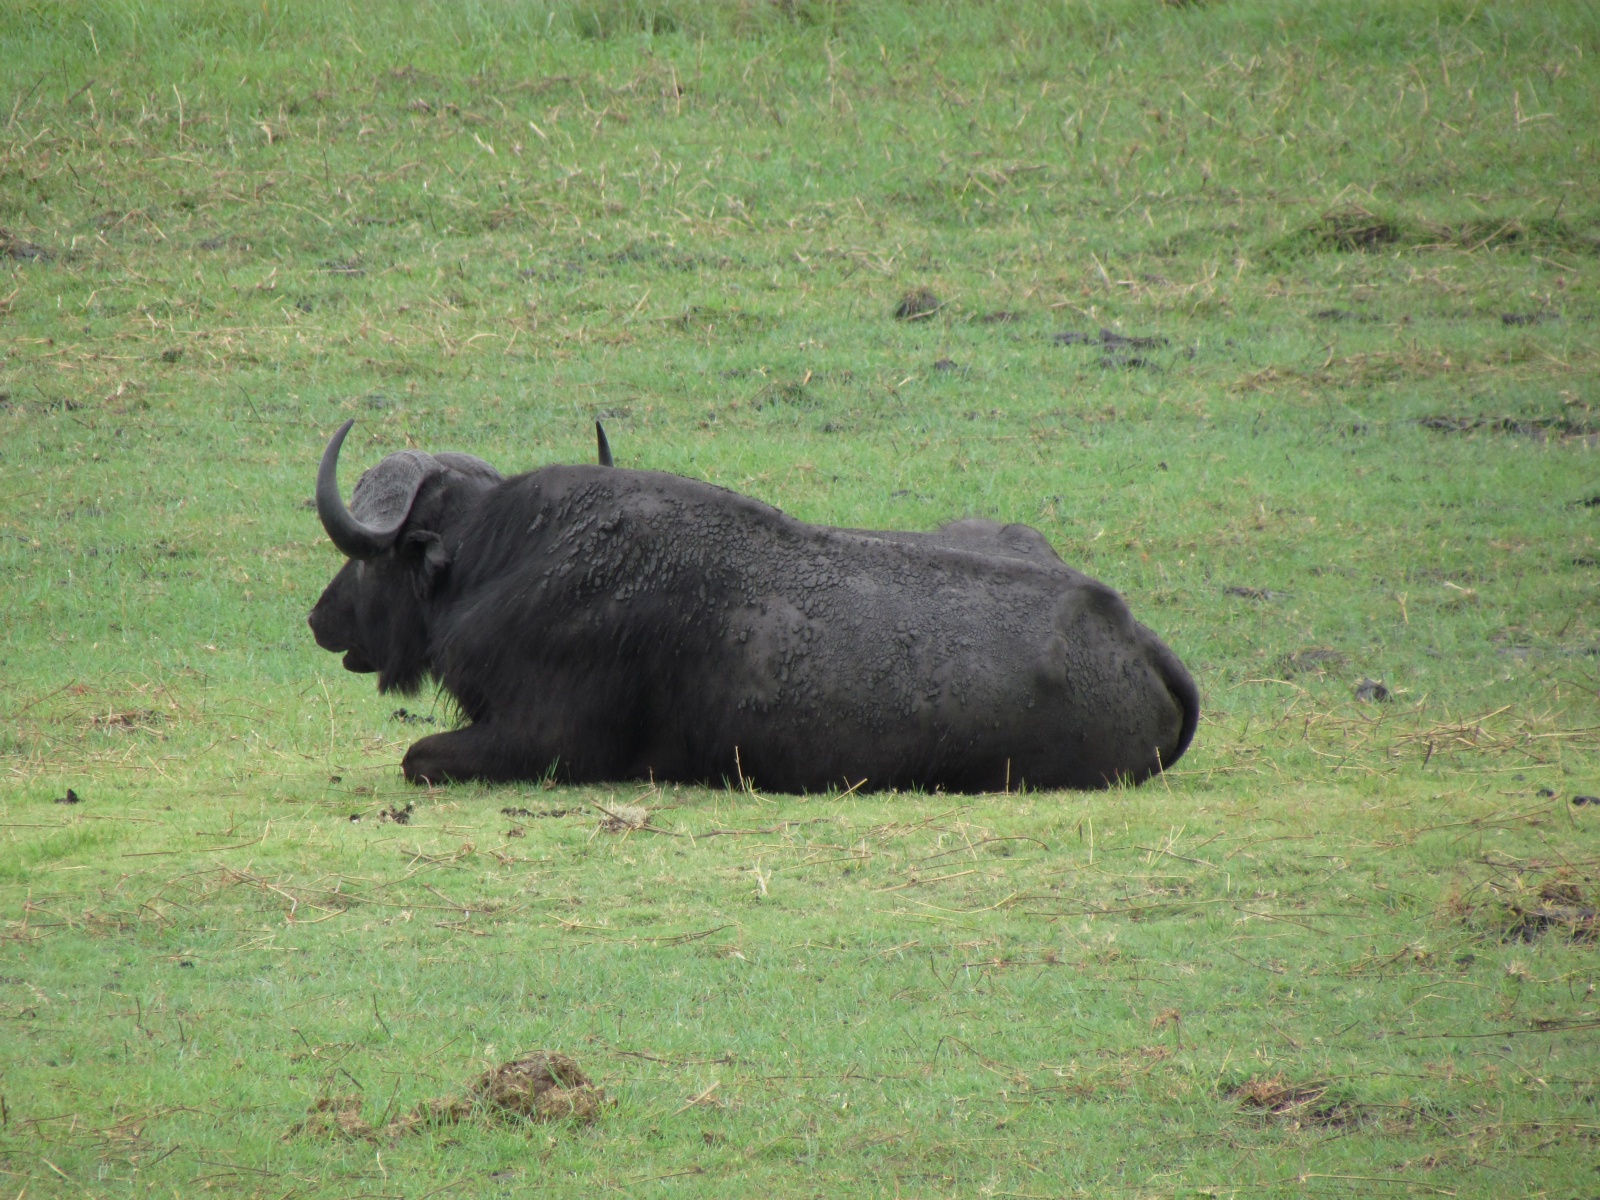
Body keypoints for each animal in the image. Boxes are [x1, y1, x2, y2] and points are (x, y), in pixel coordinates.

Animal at [308, 421, 1198, 792]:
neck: (495, 562)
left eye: (366, 562)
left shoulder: (539, 744)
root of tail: (1129, 632)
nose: (319, 619)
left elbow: (417, 757)